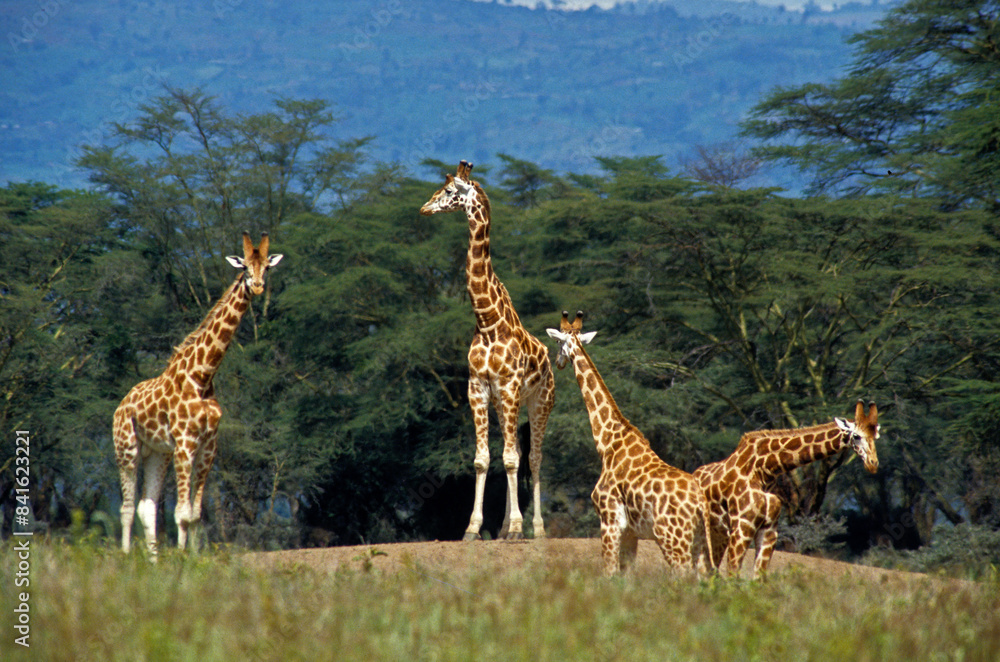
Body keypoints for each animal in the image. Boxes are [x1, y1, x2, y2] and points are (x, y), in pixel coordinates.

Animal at [112, 232, 283, 558]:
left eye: (267, 267)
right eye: (244, 267)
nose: (257, 286)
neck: (202, 376)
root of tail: (120, 405)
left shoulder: (207, 446)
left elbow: (194, 513)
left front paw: (190, 558)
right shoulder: (185, 443)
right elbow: (181, 512)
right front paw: (182, 559)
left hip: (158, 453)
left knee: (146, 506)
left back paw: (153, 561)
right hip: (127, 448)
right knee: (126, 508)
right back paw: (126, 557)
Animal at [420, 160, 555, 541]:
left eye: (450, 191)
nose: (424, 208)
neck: (487, 321)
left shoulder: (508, 386)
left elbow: (511, 459)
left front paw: (518, 528)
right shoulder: (478, 387)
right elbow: (483, 459)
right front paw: (473, 528)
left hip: (539, 402)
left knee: (534, 458)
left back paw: (536, 529)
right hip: (504, 402)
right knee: (518, 452)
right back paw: (509, 525)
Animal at [547, 311, 713, 576]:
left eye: (556, 342)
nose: (558, 362)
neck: (608, 441)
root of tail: (700, 504)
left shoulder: (609, 521)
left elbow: (609, 573)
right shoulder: (630, 532)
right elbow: (625, 576)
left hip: (672, 540)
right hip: (699, 542)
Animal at [693, 400, 880, 578]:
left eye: (876, 436)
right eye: (856, 436)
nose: (873, 464)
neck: (763, 470)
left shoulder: (769, 530)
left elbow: (758, 577)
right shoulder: (742, 526)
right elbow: (733, 574)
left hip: (719, 533)